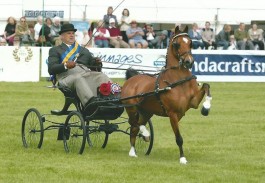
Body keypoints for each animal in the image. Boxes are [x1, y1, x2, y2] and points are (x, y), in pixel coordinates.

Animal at [120, 25, 211, 164]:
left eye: (190, 43)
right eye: (176, 44)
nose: (189, 62)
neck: (177, 80)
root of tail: (131, 80)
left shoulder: (193, 103)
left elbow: (206, 86)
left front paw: (206, 108)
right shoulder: (172, 114)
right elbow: (179, 138)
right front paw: (182, 158)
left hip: (146, 111)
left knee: (137, 125)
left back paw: (138, 145)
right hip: (132, 109)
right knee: (134, 125)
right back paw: (136, 146)